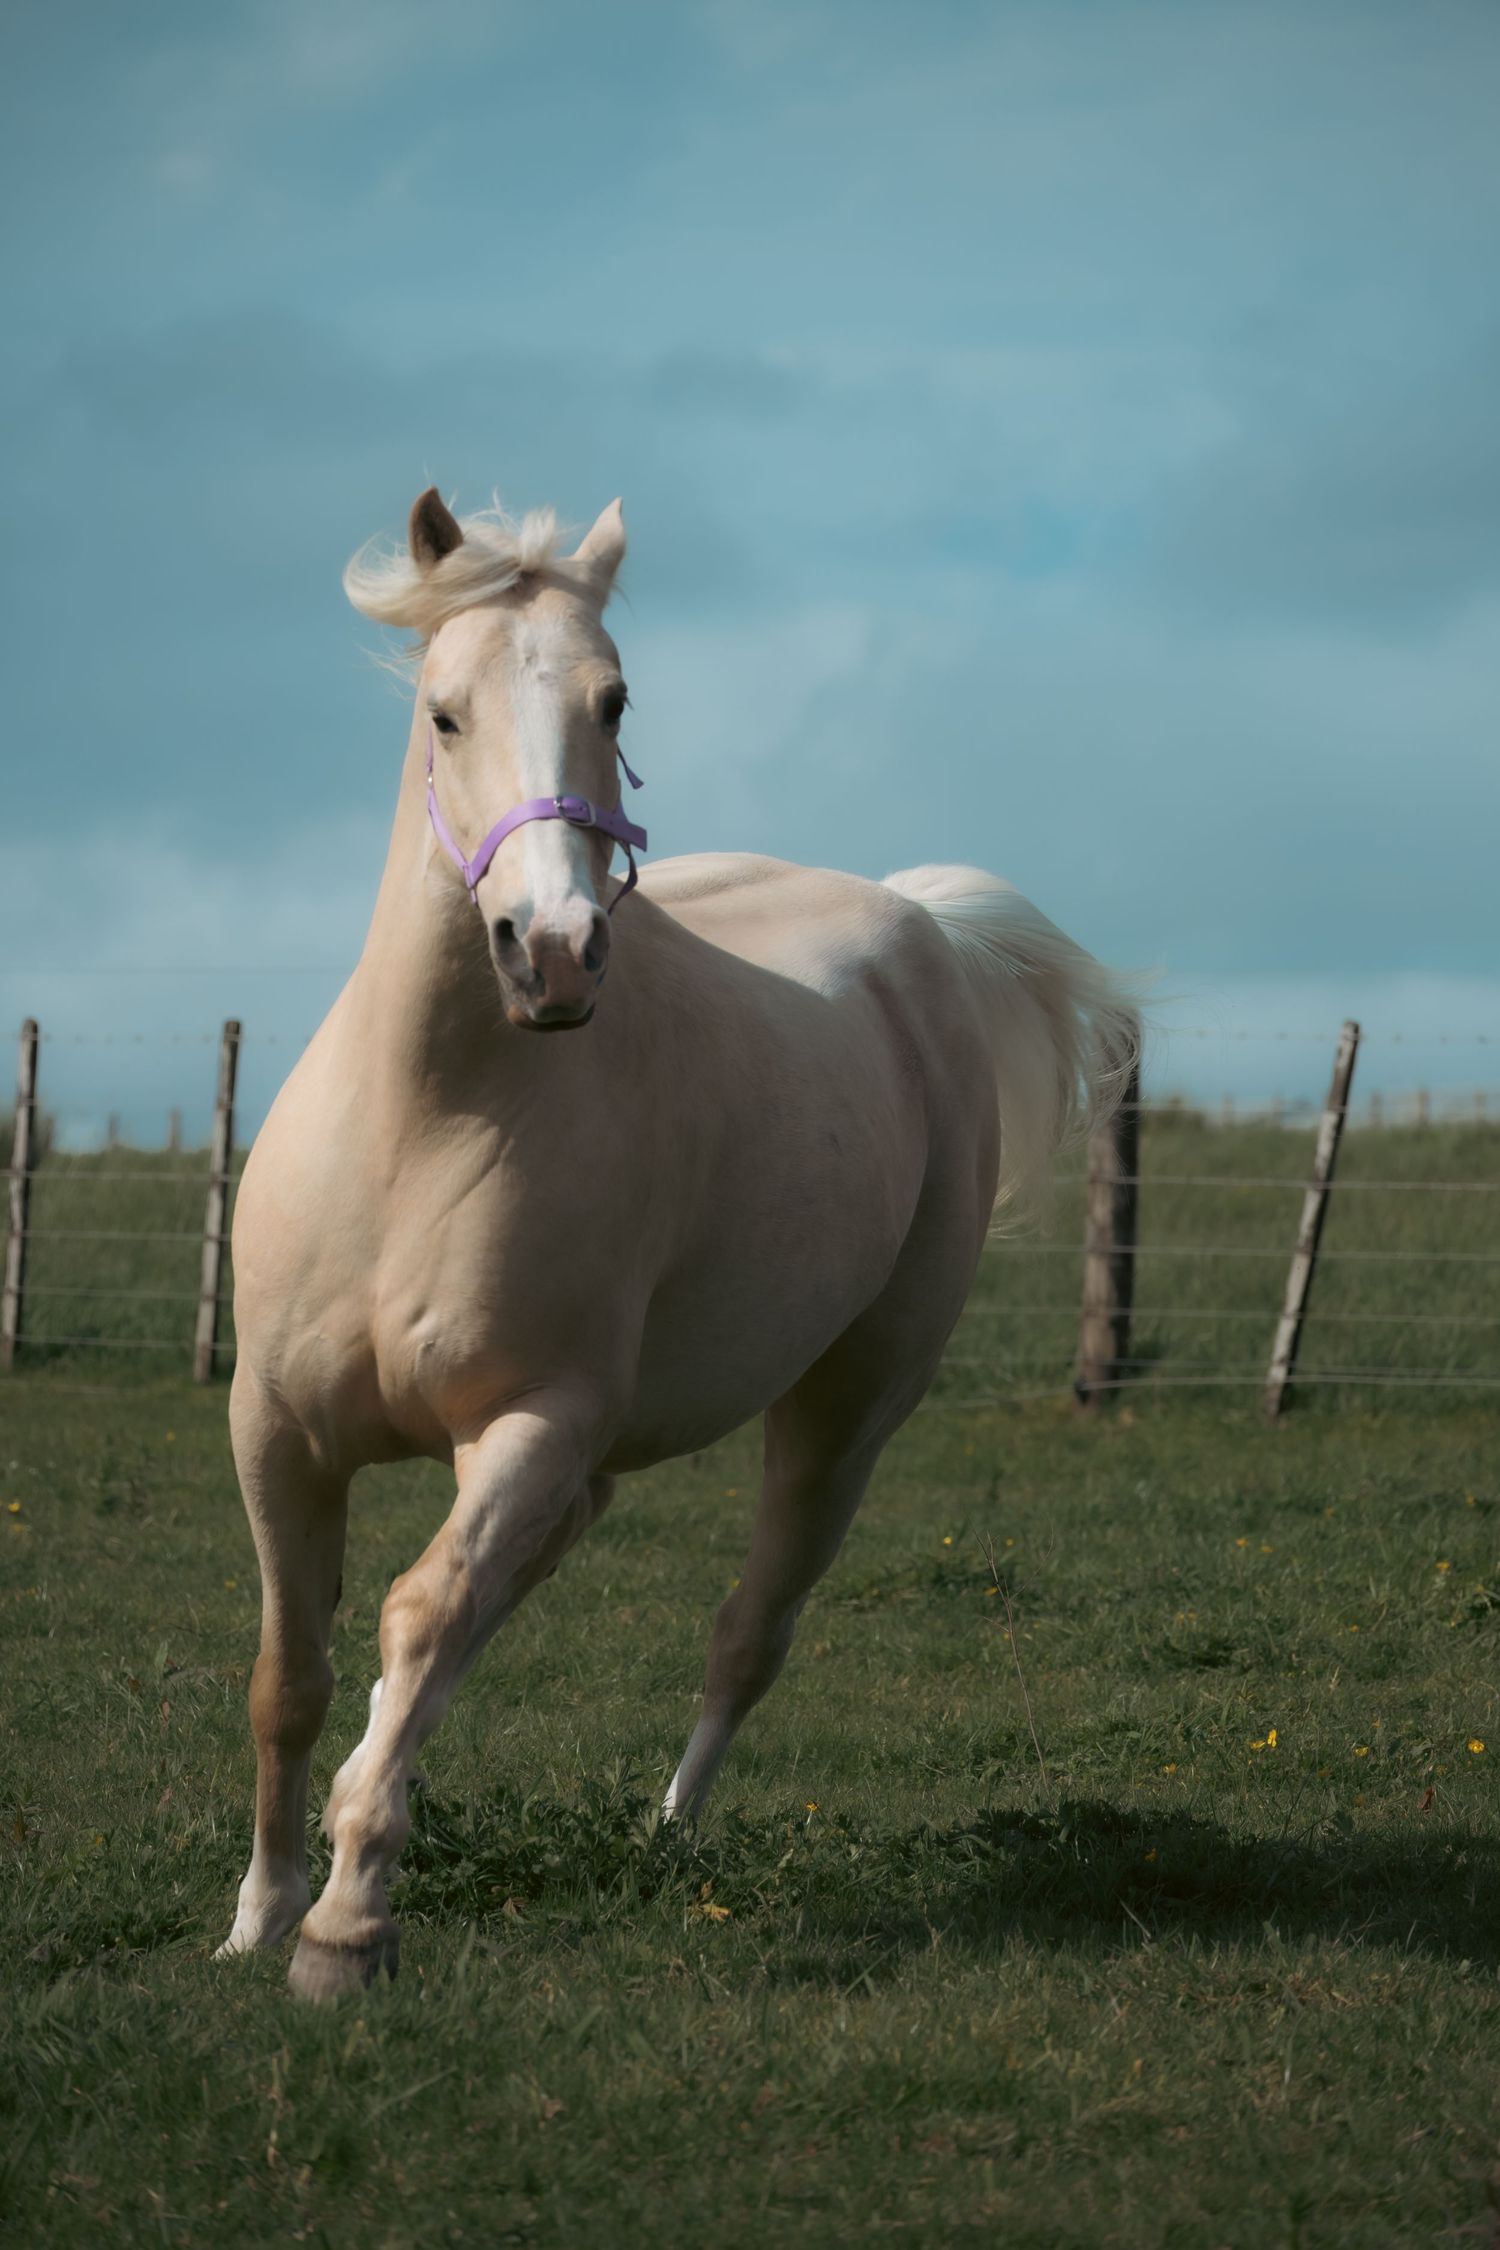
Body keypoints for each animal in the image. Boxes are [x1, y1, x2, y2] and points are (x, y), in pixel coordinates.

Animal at [217, 485, 1138, 2001]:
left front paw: (347, 1924)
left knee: (743, 1633)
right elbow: (293, 1672)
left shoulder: (535, 1418)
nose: (553, 951)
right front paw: (259, 1912)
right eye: (444, 712)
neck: (428, 1120)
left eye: (615, 697)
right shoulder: (278, 1432)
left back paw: (665, 1834)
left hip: (846, 1408)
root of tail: (917, 926)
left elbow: (421, 1611)